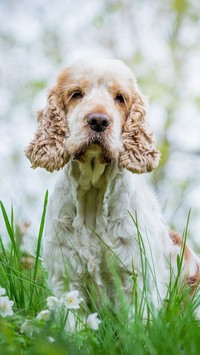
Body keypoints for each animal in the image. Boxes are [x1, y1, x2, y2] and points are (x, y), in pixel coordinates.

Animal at [25, 57, 199, 314]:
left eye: (120, 98)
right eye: (76, 94)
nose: (98, 120)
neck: (93, 194)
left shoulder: (137, 279)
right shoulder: (66, 278)